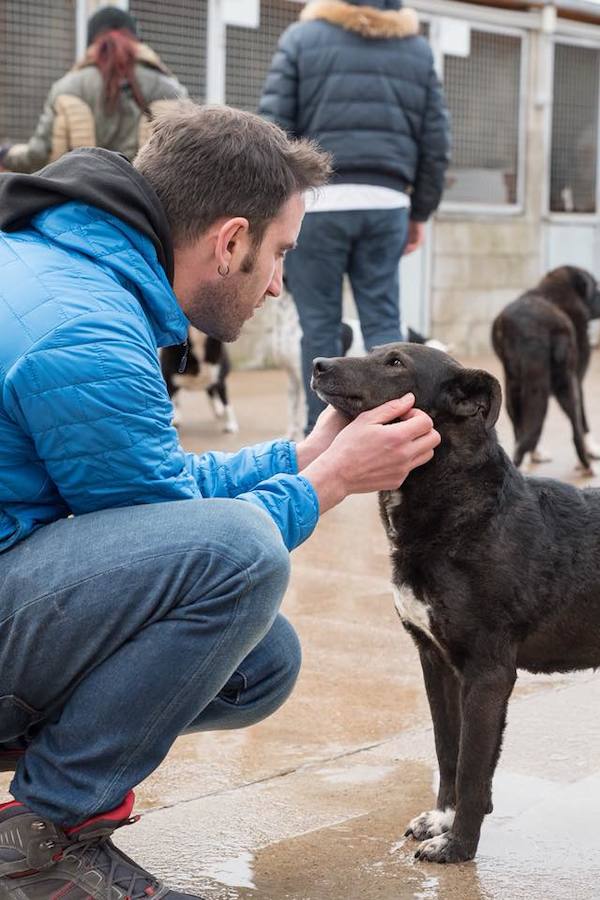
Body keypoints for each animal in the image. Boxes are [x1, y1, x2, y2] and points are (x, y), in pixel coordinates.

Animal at [312, 342, 600, 860]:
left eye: (396, 363)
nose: (318, 364)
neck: (463, 514)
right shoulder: (437, 662)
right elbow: (448, 749)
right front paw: (442, 820)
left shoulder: (488, 673)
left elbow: (471, 768)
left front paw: (458, 847)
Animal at [490, 266, 600, 472]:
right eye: (596, 286)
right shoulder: (577, 378)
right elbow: (582, 418)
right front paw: (593, 449)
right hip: (565, 383)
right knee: (574, 427)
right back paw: (587, 465)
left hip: (512, 388)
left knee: (522, 425)